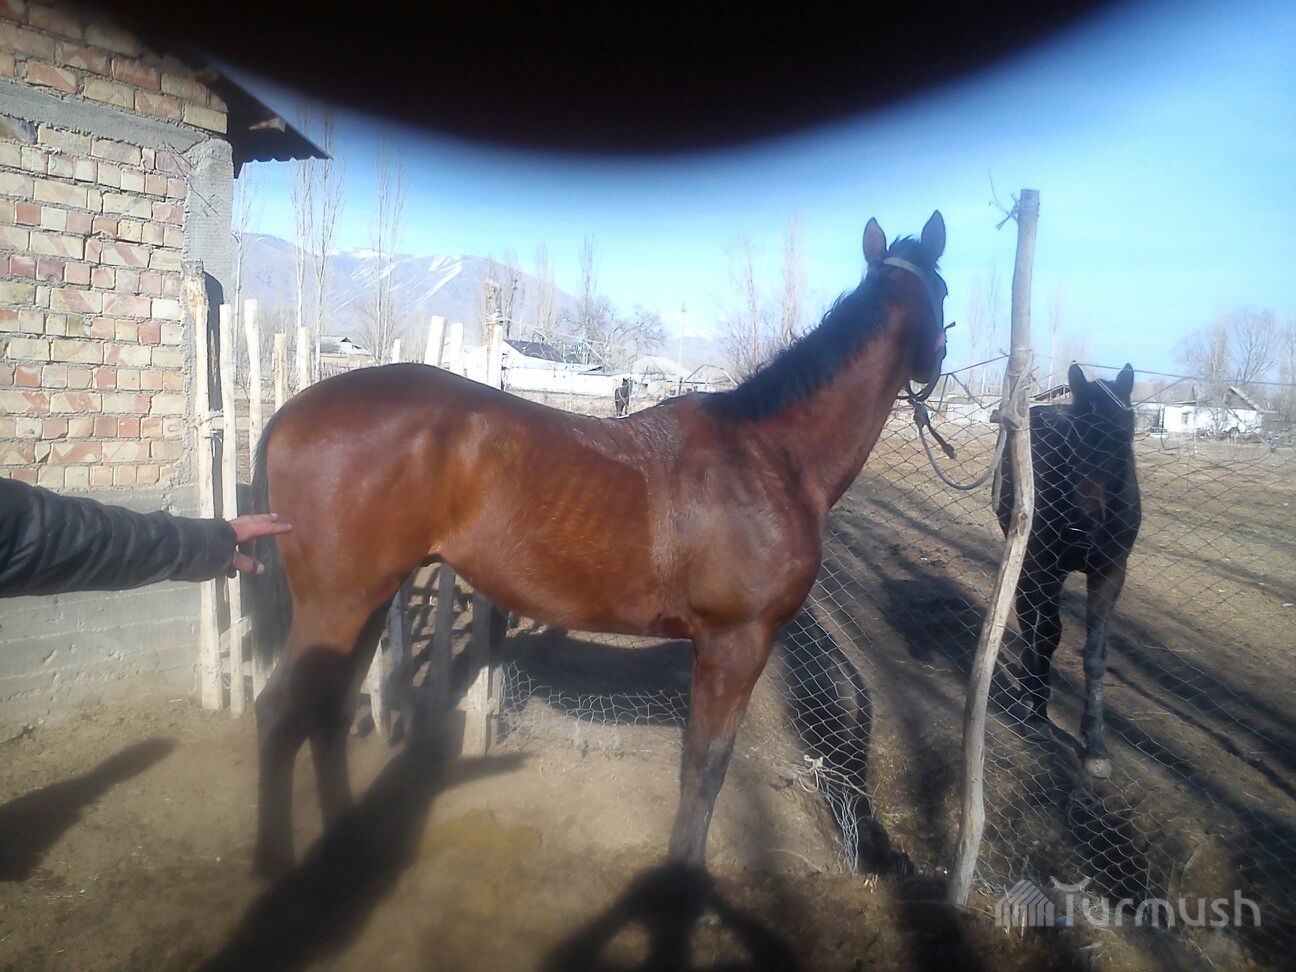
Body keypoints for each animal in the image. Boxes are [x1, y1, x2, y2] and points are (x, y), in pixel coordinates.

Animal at [246, 211, 950, 879]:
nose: (938, 364)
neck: (768, 458)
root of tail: (291, 414)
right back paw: (276, 861)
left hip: (365, 599)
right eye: (943, 291)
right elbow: (705, 768)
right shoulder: (735, 643)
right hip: (337, 603)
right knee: (281, 712)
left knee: (328, 712)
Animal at [996, 363, 1141, 778]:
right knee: (1028, 616)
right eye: (1074, 438)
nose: (1083, 524)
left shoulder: (1110, 572)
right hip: (1029, 558)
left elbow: (1095, 653)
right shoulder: (1047, 565)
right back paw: (1028, 692)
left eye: (1126, 432)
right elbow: (1046, 635)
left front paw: (1095, 745)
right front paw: (1039, 716)